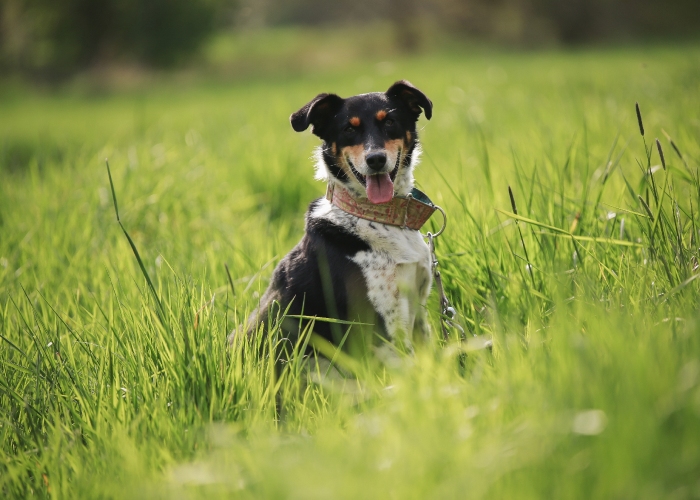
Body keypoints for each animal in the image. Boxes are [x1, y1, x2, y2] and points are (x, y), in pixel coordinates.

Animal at [241, 81, 438, 356]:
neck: (378, 217)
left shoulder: (418, 310)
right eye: (348, 129)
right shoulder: (384, 326)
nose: (376, 159)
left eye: (389, 121)